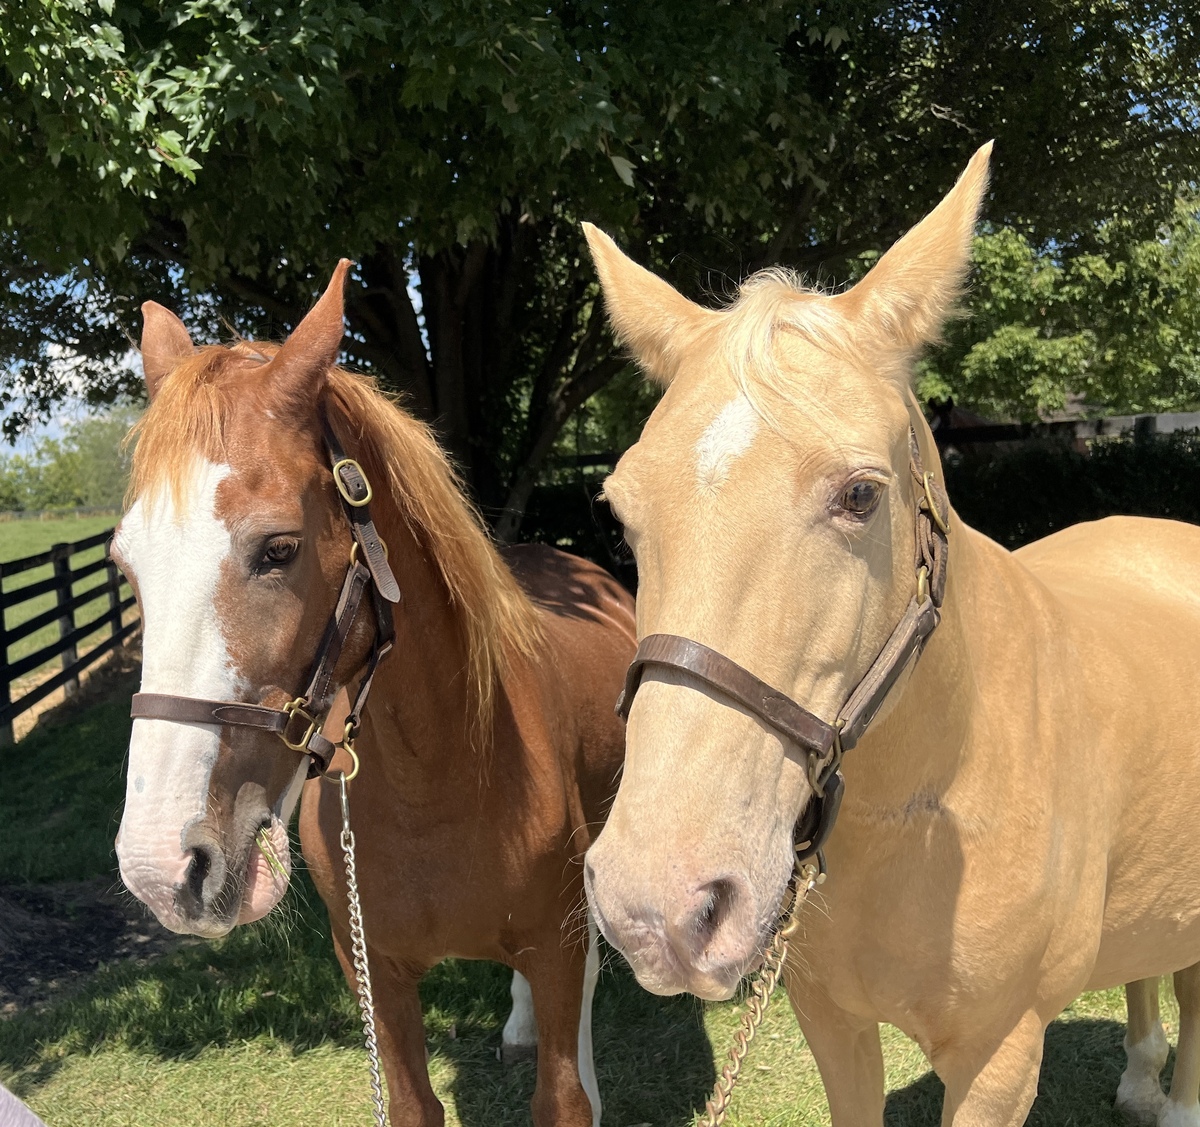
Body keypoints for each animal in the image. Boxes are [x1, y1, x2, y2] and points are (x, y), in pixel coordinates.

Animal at [111, 262, 635, 1127]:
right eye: (124, 563)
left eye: (278, 547)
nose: (161, 867)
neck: (441, 779)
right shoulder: (372, 971)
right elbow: (413, 1100)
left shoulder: (556, 947)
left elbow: (565, 1089)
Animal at [579, 142, 1200, 1127]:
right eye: (622, 510)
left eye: (860, 495)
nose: (660, 907)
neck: (928, 800)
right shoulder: (833, 1025)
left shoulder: (999, 1061)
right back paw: (1141, 1076)